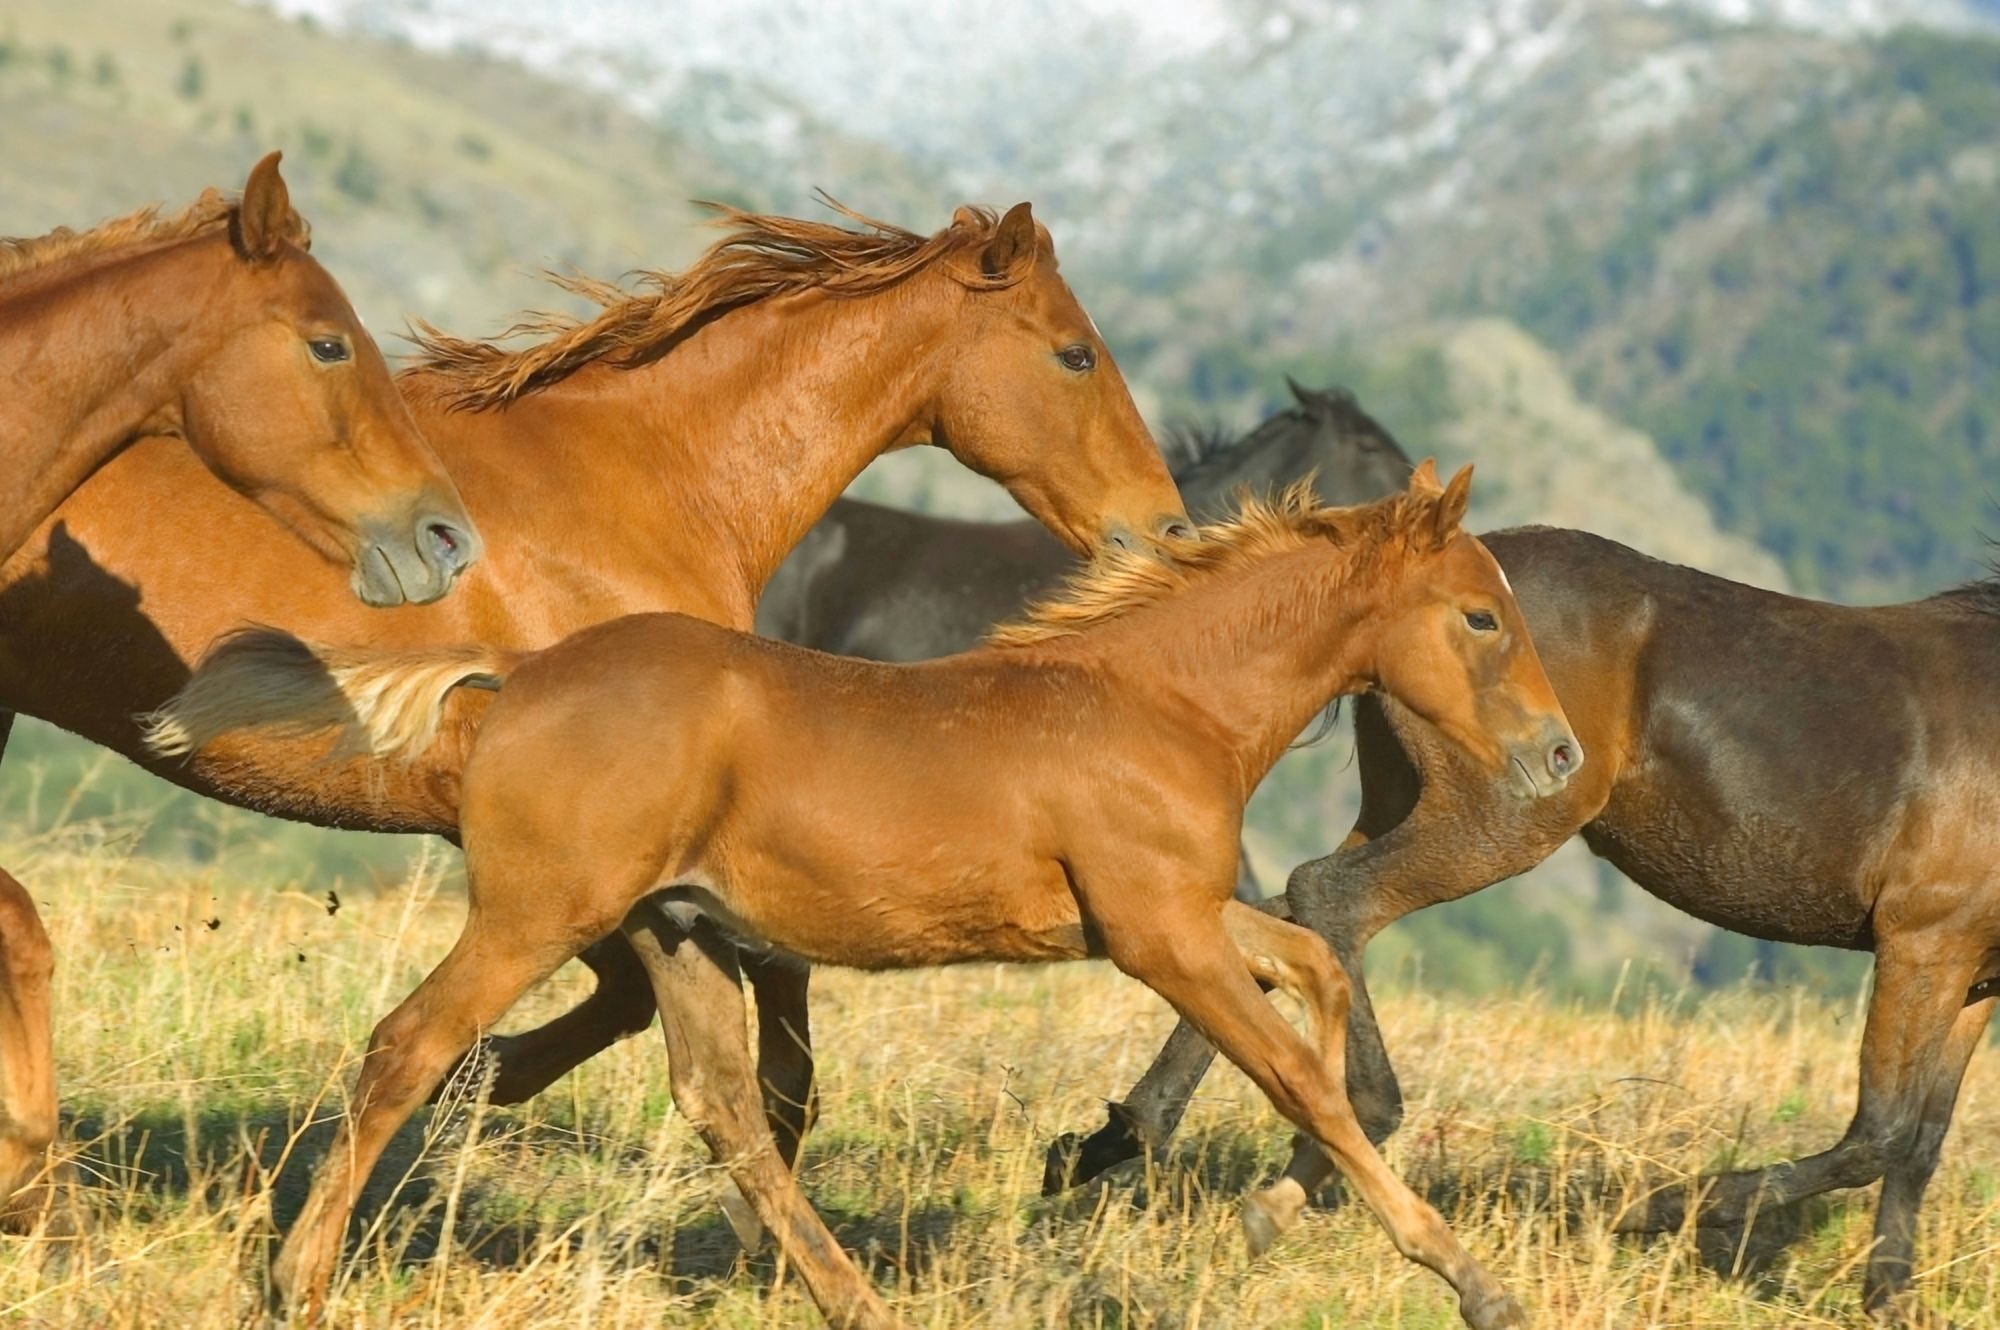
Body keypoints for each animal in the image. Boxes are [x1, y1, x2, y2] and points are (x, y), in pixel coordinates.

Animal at [148, 463, 1582, 1330]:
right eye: (1479, 617)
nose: (1561, 755)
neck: (1151, 701)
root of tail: (521, 673)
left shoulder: (1173, 912)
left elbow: (1320, 974)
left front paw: (1284, 1204)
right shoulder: (1159, 935)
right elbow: (1294, 1071)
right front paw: (1470, 1277)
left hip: (670, 928)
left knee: (721, 1103)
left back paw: (851, 1296)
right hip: (537, 915)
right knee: (411, 1046)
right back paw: (298, 1276)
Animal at [1048, 524, 2000, 1319]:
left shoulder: (1973, 975)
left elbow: (1920, 1141)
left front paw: (1889, 1299)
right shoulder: (1924, 939)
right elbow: (1879, 1134)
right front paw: (1654, 1209)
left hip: (1406, 800)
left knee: (1275, 922)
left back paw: (1120, 1136)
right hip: (1501, 818)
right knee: (1327, 897)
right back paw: (1345, 1130)